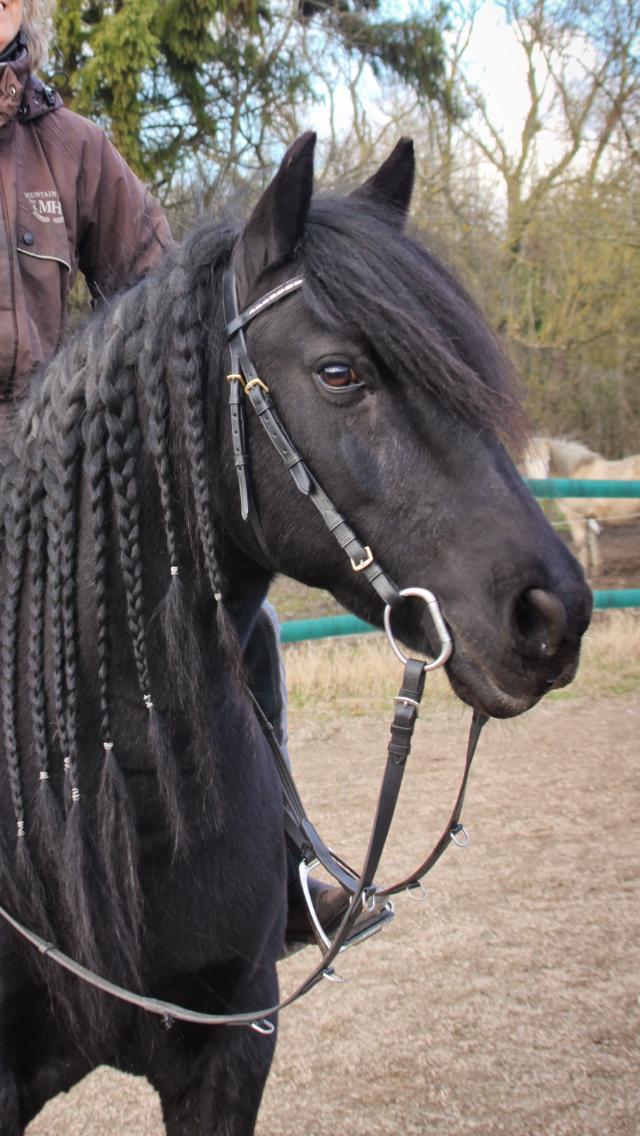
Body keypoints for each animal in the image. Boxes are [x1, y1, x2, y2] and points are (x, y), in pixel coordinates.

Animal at [521, 435, 640, 577]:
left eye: (547, 460)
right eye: (530, 460)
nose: (541, 486)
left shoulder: (575, 516)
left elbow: (581, 544)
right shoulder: (589, 516)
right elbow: (592, 542)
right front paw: (596, 571)